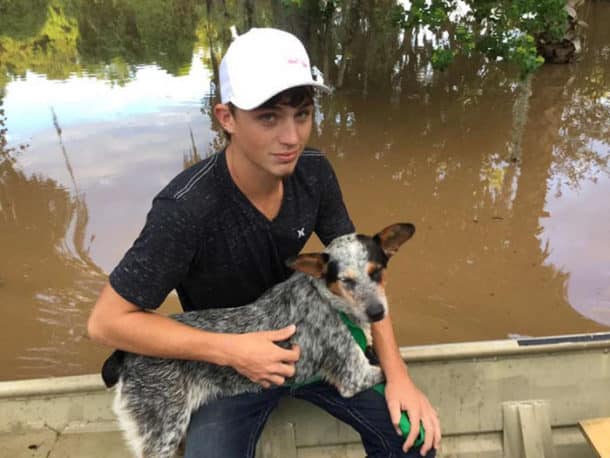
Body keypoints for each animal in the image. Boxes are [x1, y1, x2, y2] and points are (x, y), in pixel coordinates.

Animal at [102, 223, 414, 458]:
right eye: (346, 281)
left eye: (377, 272)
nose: (377, 313)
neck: (327, 299)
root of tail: (123, 355)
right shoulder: (354, 378)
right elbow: (391, 372)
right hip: (163, 432)